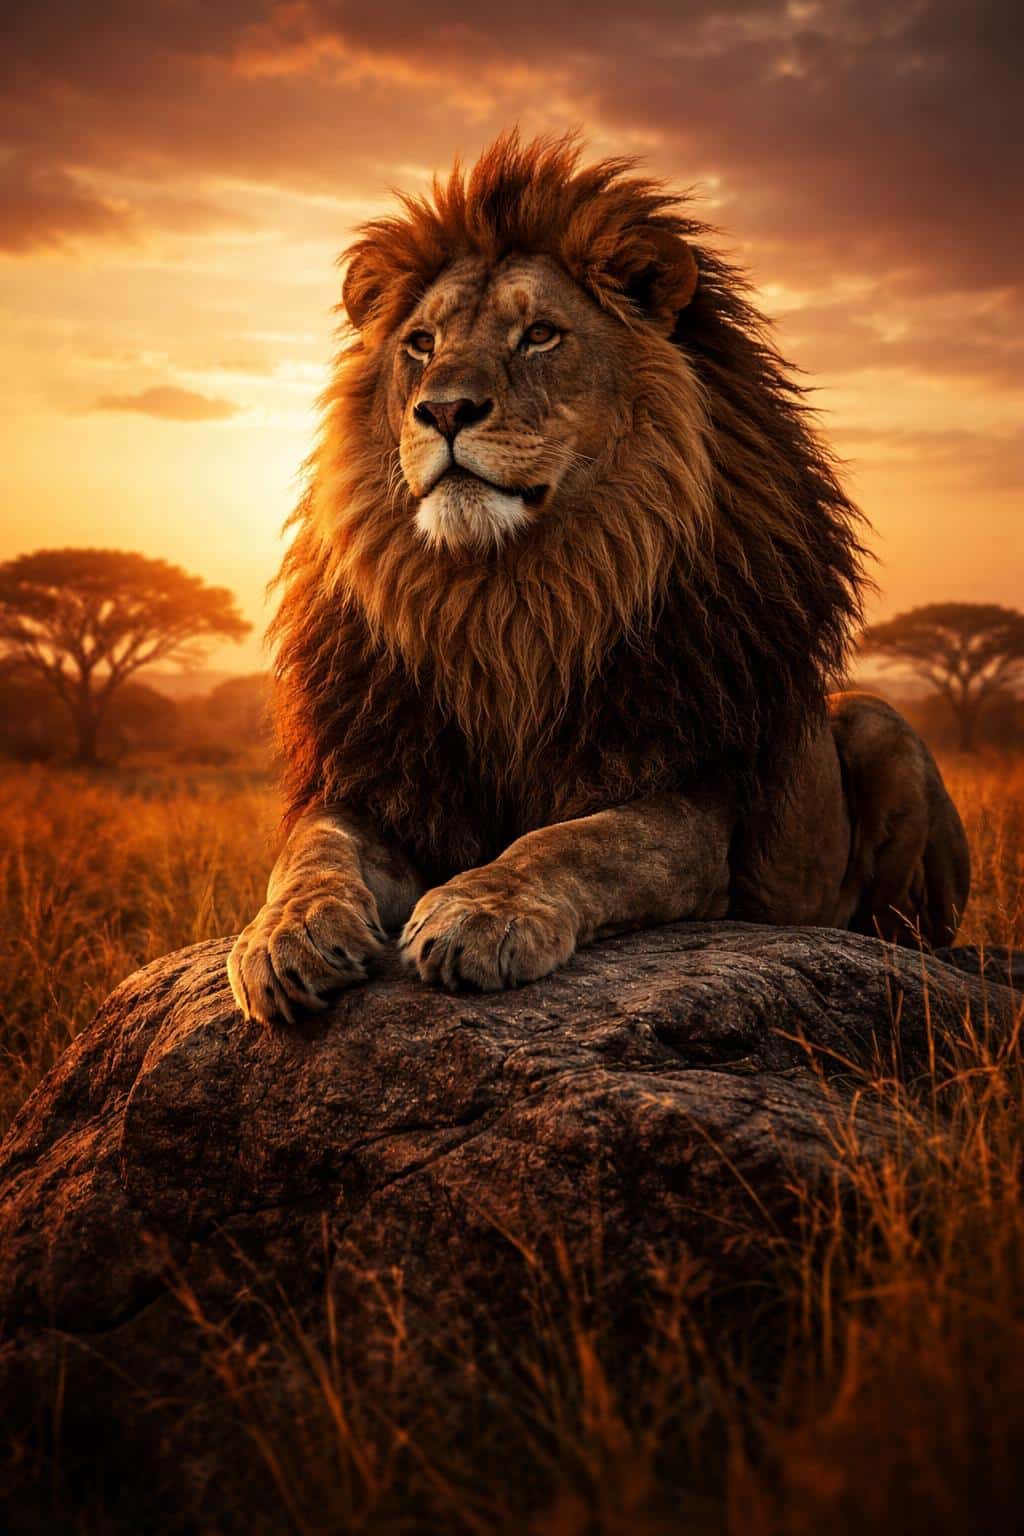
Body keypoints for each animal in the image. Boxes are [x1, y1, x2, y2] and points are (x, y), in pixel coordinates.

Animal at [227, 132, 969, 1024]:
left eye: (541, 335)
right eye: (421, 344)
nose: (442, 410)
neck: (504, 600)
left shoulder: (689, 801)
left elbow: (573, 843)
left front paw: (481, 915)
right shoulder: (384, 779)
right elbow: (312, 850)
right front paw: (286, 938)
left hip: (878, 725)